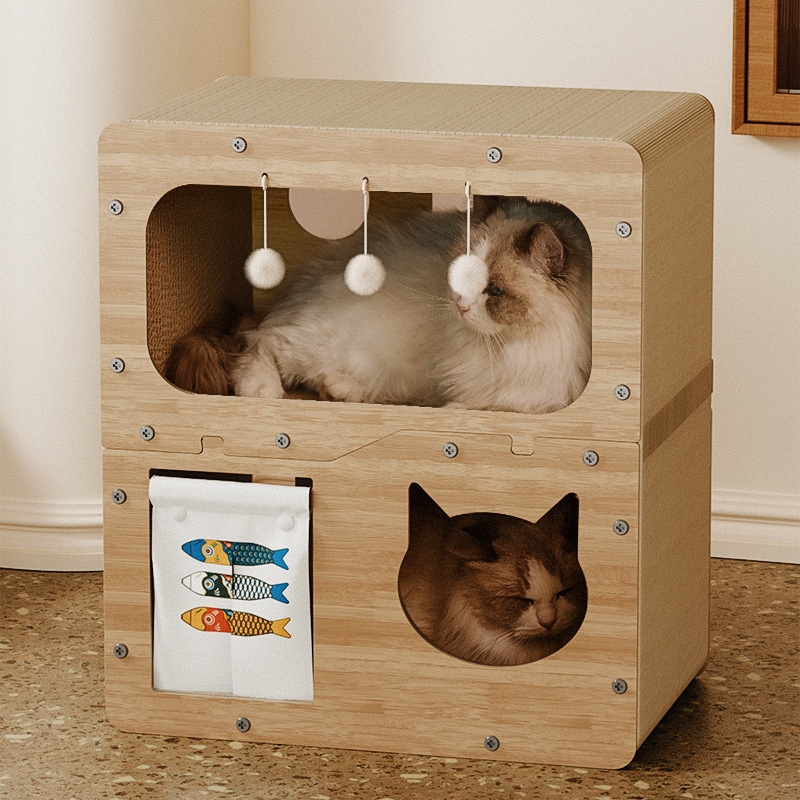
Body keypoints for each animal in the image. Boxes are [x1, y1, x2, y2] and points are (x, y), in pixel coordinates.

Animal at [230, 198, 591, 412]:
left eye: (495, 291)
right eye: (458, 276)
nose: (460, 307)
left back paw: (339, 390)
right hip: (335, 341)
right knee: (261, 342)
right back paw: (262, 390)